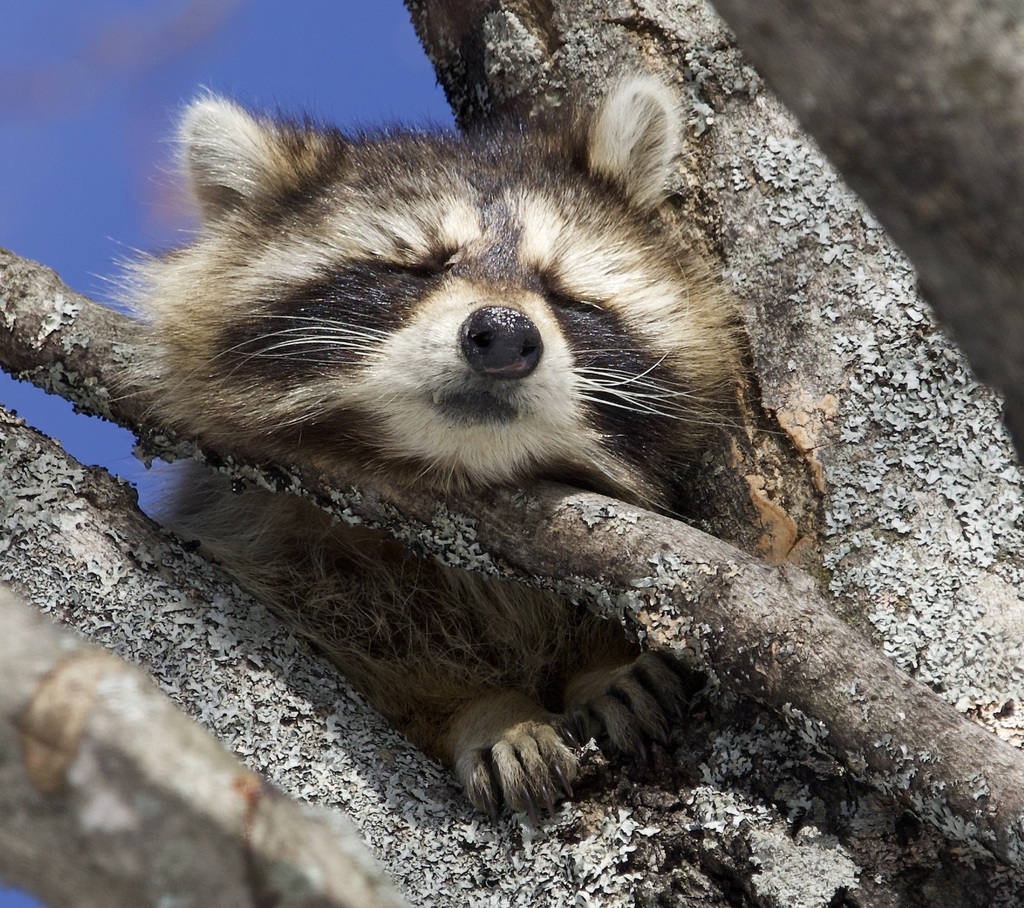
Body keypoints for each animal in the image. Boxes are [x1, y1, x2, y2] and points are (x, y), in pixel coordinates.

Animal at [134, 76, 745, 814]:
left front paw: (602, 666)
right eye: (416, 269)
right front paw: (485, 709)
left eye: (561, 291)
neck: (455, 474)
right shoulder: (252, 542)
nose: (504, 336)